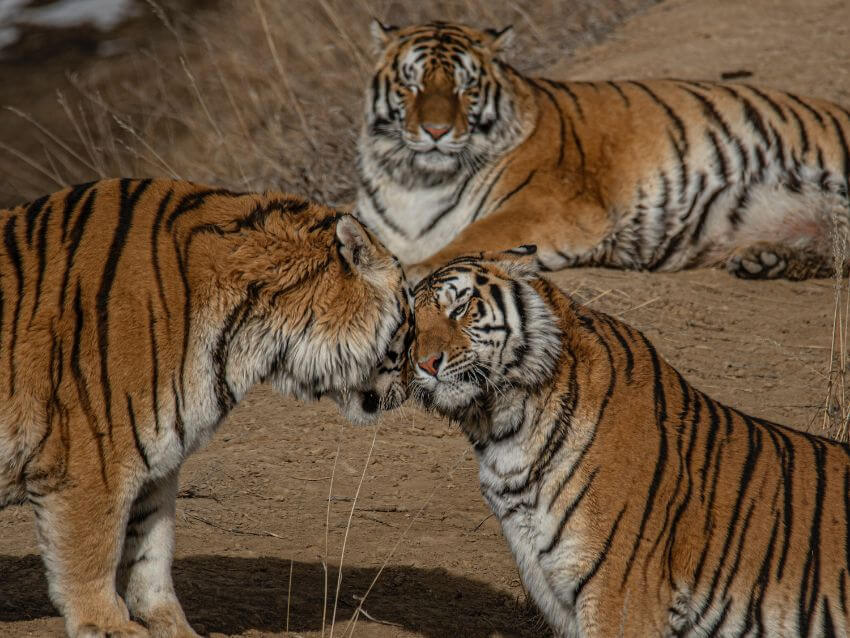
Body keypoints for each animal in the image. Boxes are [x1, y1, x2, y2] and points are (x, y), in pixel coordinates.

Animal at [0, 178, 410, 636]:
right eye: (409, 318)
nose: (414, 382)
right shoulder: (90, 459)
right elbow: (93, 552)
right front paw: (109, 625)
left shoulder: (154, 467)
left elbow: (151, 554)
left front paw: (171, 625)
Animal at [356, 21, 848, 284]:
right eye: (411, 84)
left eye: (465, 87)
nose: (436, 130)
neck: (416, 179)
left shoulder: (546, 206)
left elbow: (473, 236)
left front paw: (414, 270)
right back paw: (763, 259)